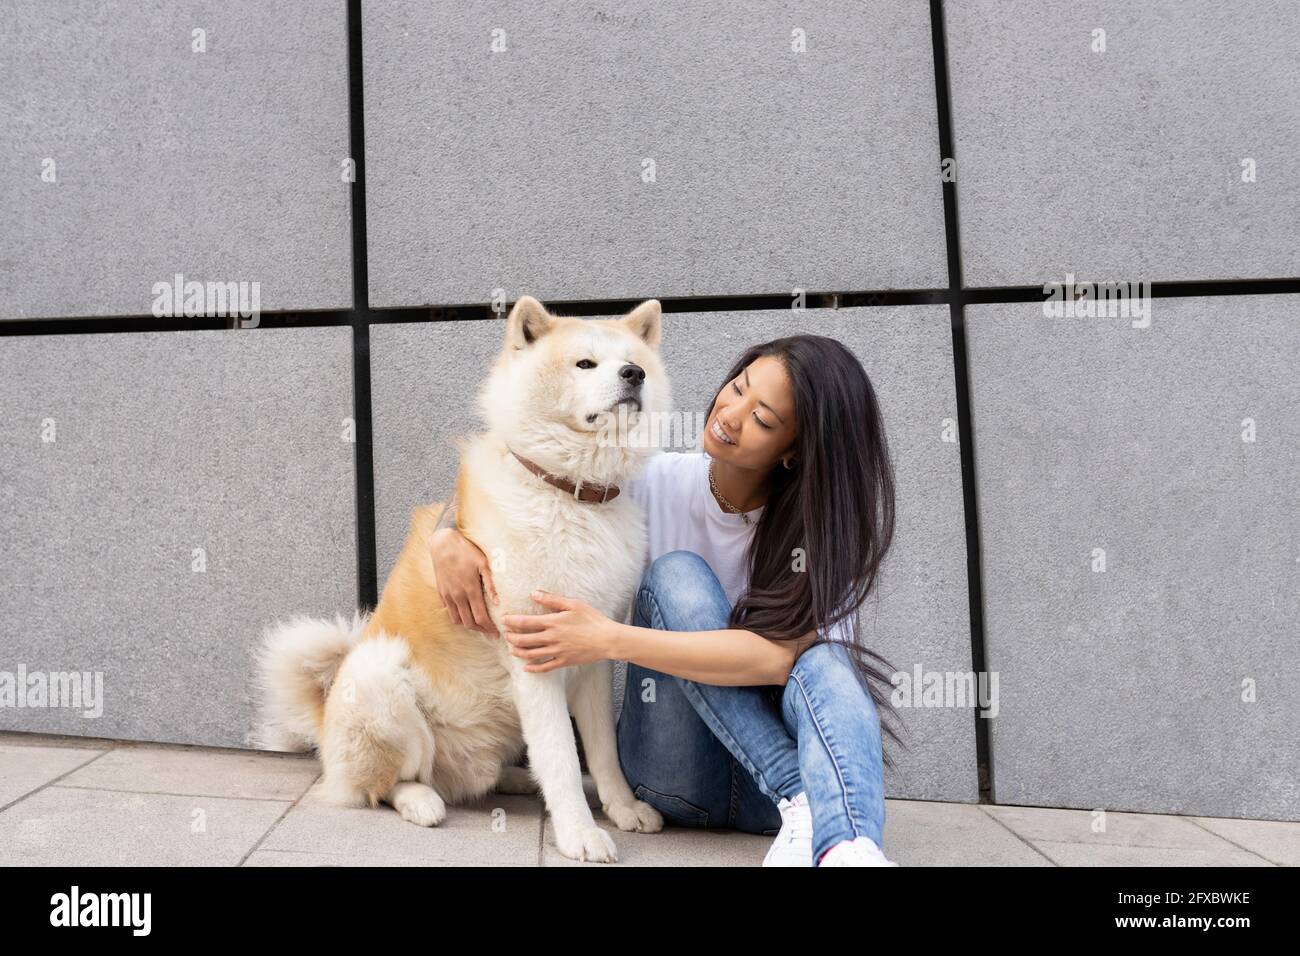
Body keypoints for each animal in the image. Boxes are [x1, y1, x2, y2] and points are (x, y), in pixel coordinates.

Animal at [250, 295, 670, 863]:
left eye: (633, 362)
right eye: (585, 364)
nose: (634, 375)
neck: (570, 493)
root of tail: (324, 722)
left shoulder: (591, 653)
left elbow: (603, 752)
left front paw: (622, 809)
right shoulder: (532, 655)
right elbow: (560, 753)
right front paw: (579, 833)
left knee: (484, 776)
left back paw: (518, 780)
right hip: (380, 676)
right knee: (387, 785)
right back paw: (420, 801)